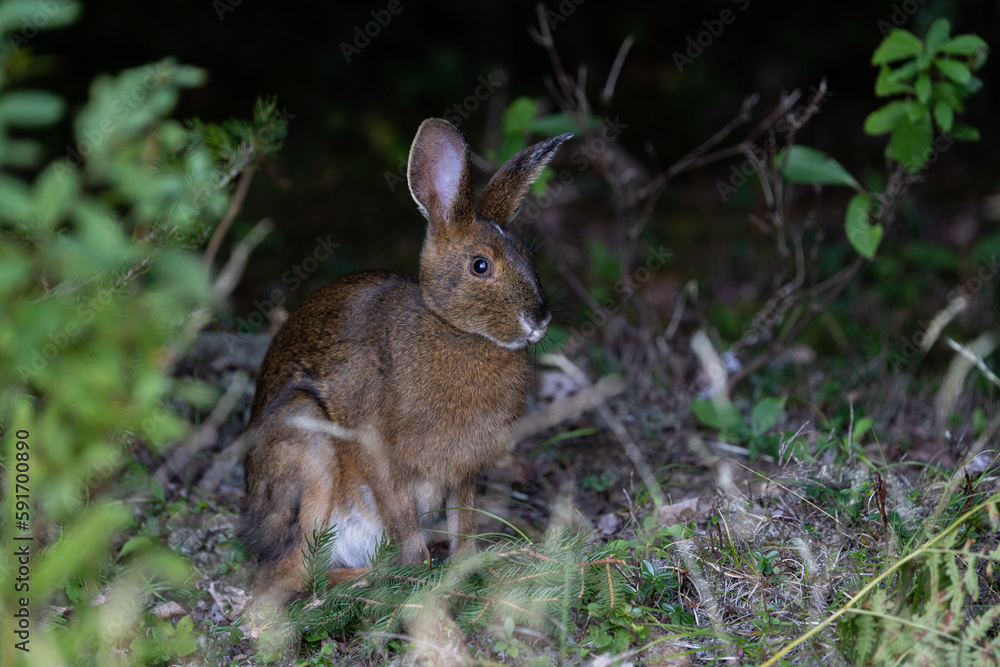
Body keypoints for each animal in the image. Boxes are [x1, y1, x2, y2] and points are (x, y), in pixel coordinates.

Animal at [240, 118, 572, 608]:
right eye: (480, 266)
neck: (454, 329)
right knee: (294, 575)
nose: (539, 318)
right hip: (308, 447)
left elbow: (464, 521)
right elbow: (401, 516)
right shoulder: (381, 454)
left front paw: (465, 568)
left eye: (530, 258)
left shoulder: (464, 468)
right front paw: (421, 574)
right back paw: (372, 579)